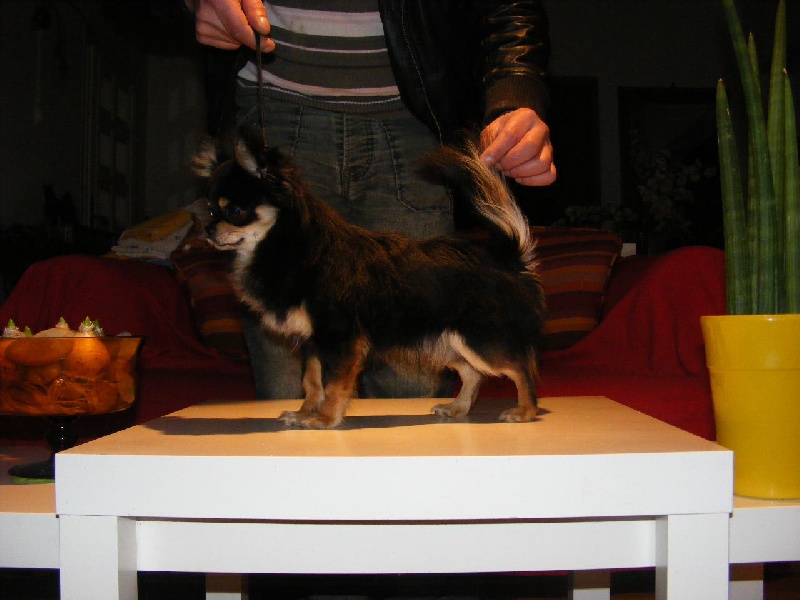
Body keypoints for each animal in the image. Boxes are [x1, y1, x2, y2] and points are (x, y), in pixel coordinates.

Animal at [193, 127, 545, 429]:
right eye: (210, 210)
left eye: (234, 212)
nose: (207, 229)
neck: (289, 246)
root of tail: (506, 258)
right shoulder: (314, 342)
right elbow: (312, 382)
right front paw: (304, 413)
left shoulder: (341, 340)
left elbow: (334, 385)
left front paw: (325, 419)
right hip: (447, 343)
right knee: (474, 373)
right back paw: (458, 408)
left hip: (479, 340)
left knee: (520, 368)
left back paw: (526, 411)